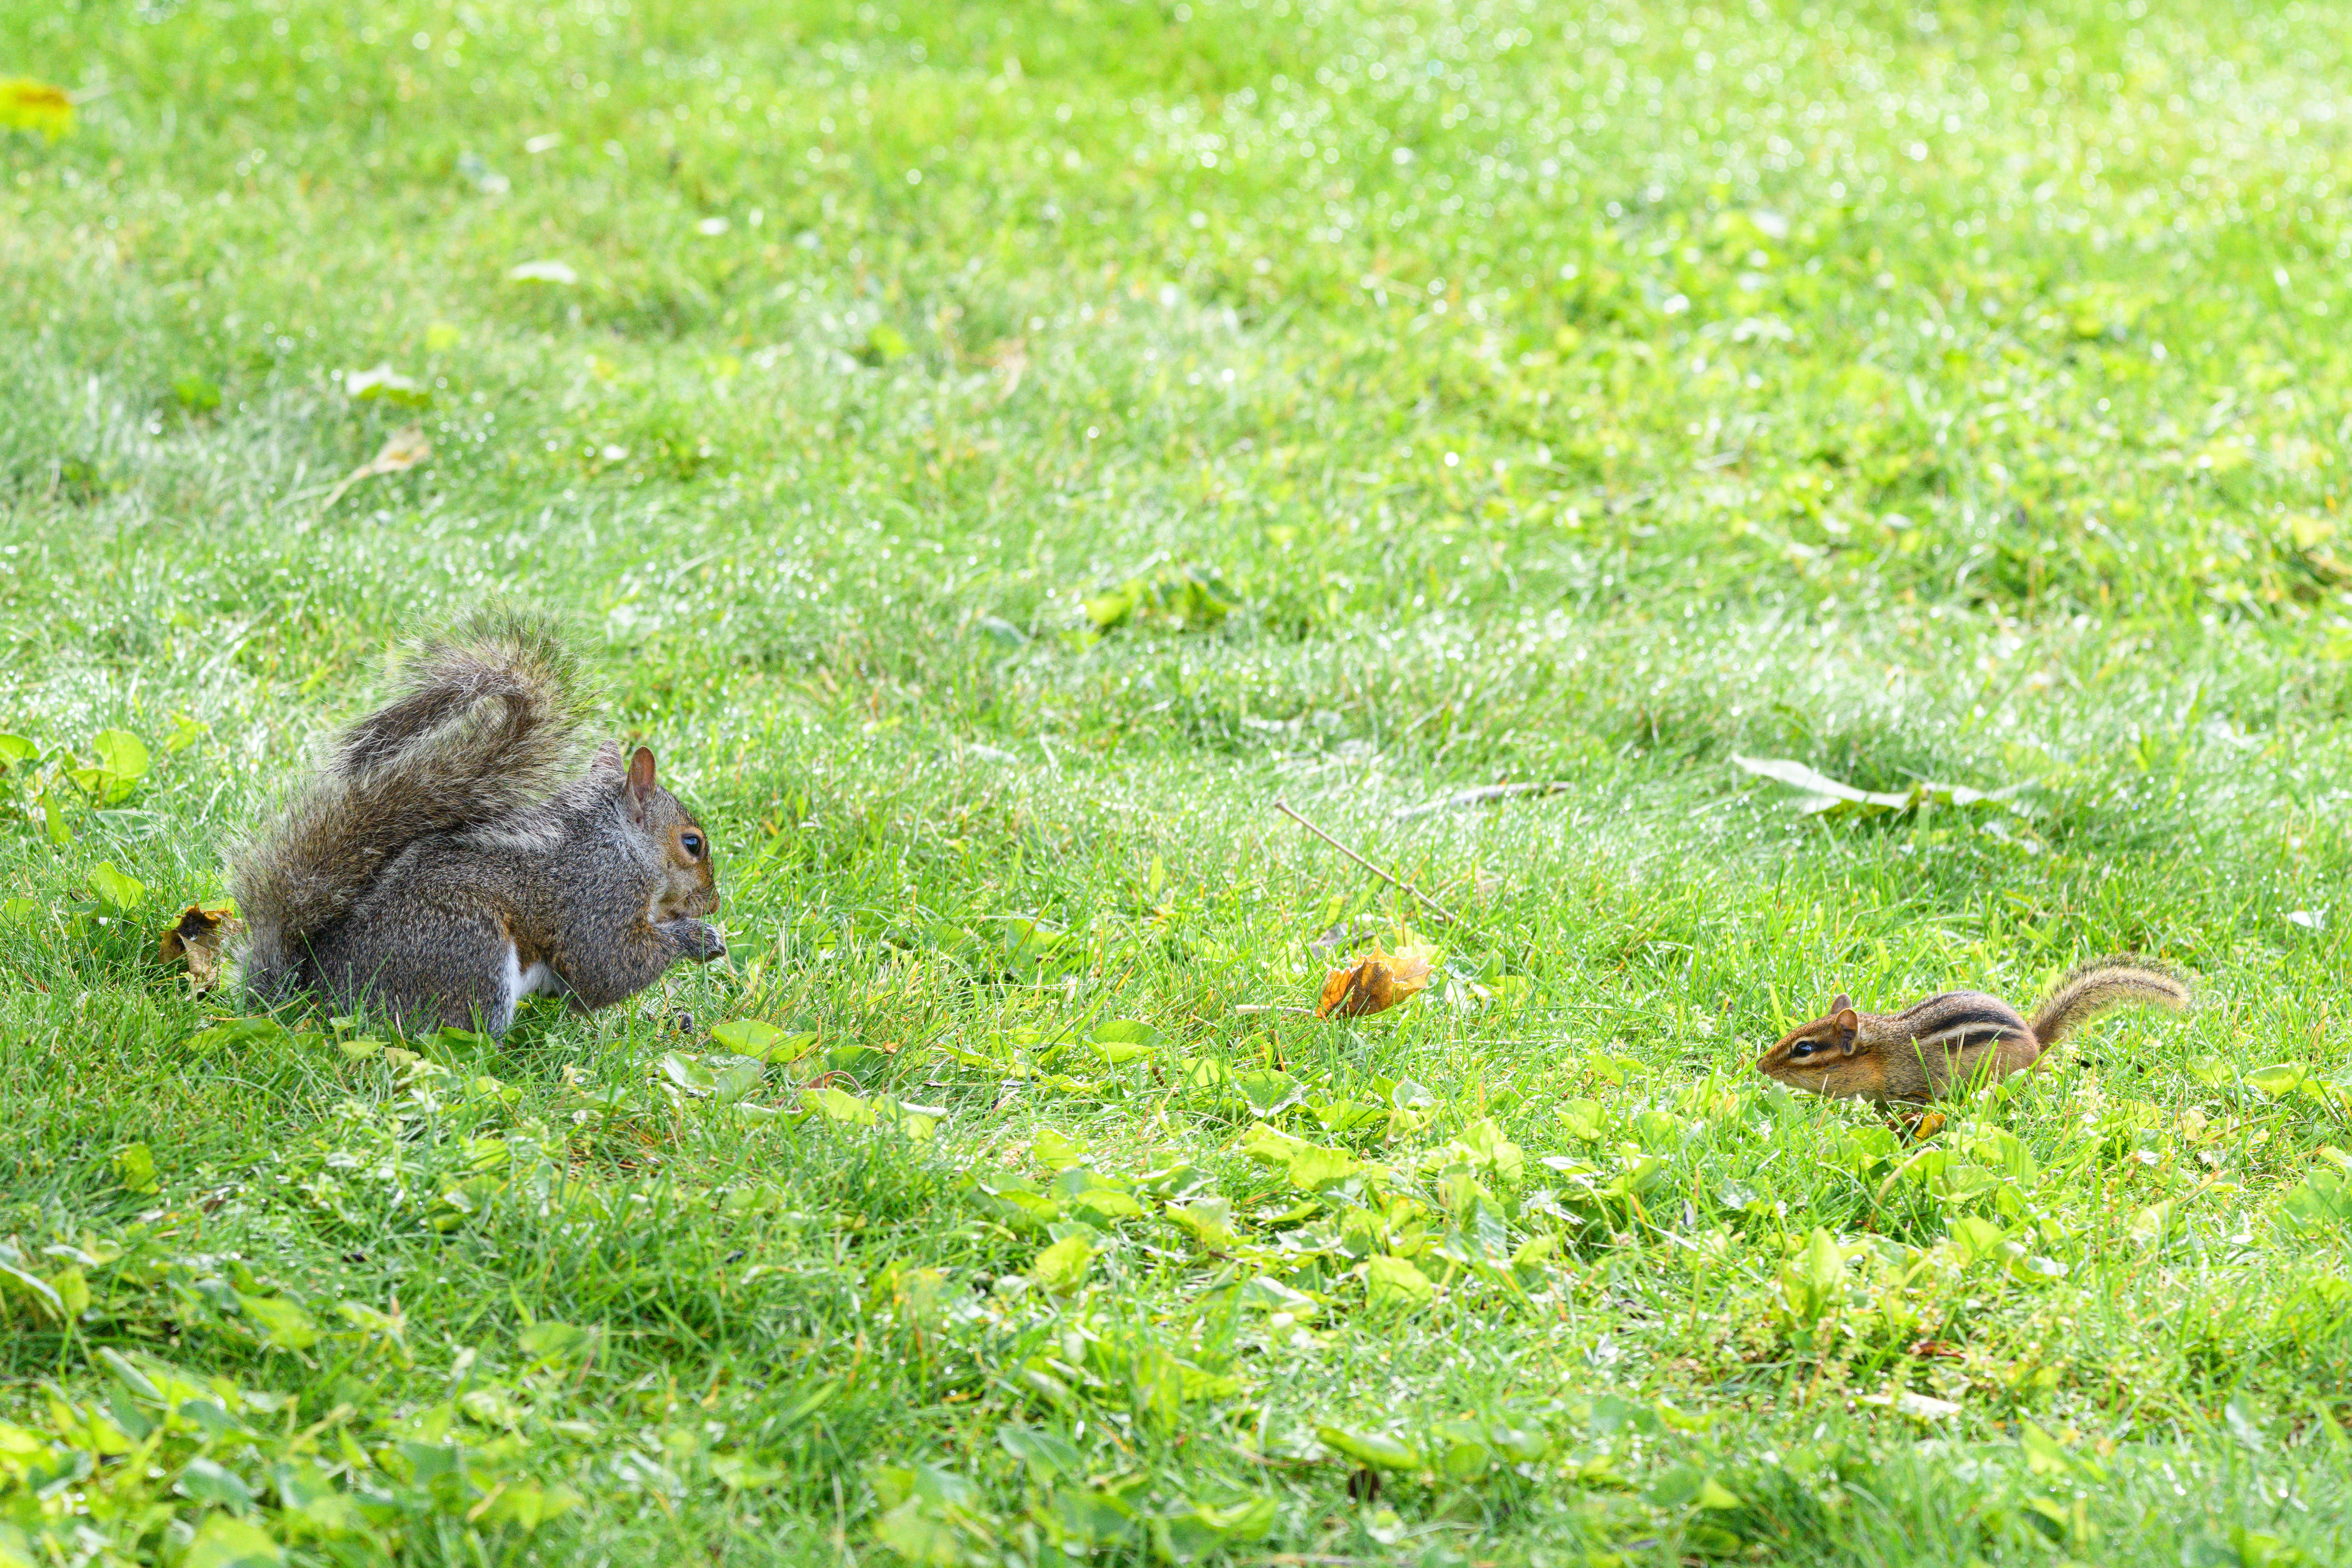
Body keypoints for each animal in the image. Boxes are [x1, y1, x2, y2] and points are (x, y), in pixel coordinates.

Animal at [228, 611, 723, 1036]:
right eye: (692, 844)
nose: (714, 904)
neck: (620, 842)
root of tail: (315, 998)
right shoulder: (596, 895)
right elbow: (605, 967)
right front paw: (698, 939)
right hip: (471, 946)